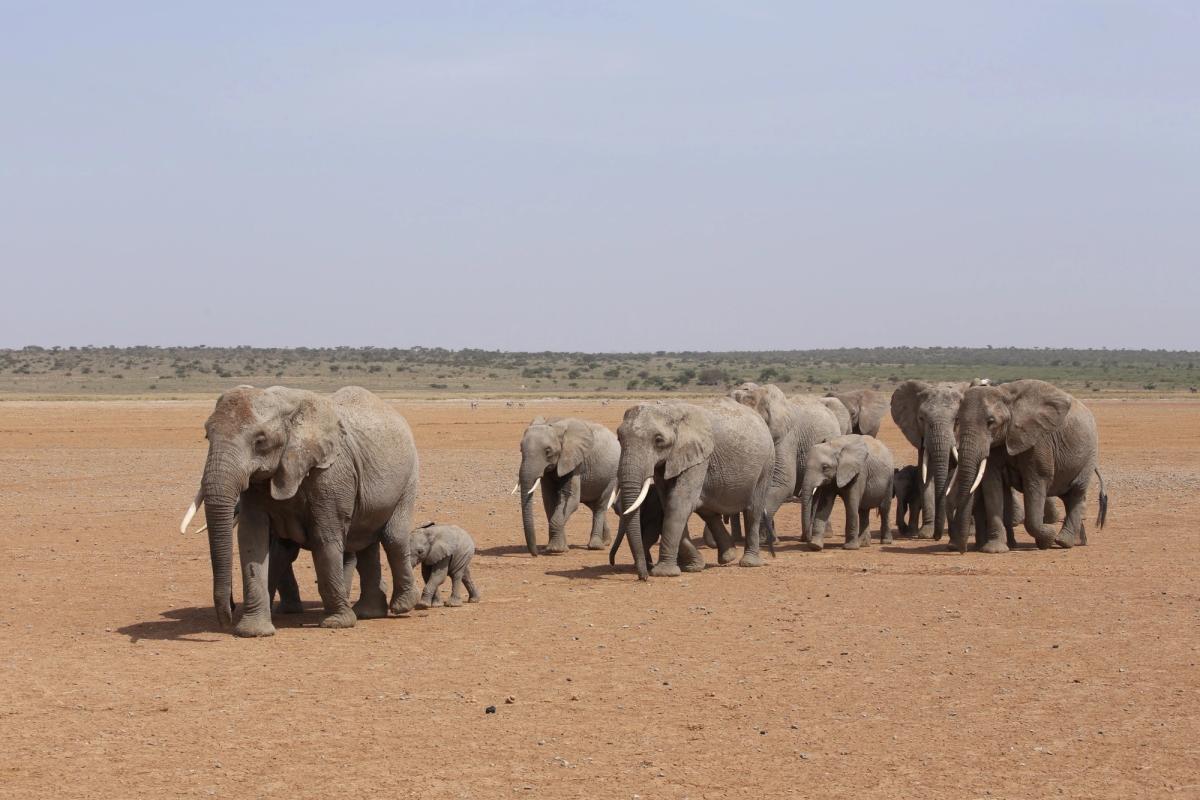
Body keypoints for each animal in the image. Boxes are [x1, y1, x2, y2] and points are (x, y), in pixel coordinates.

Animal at [184, 385, 420, 637]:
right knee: (366, 541)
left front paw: (337, 623)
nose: (228, 613)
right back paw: (369, 612)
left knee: (393, 537)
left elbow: (325, 539)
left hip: (409, 477)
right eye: (207, 435)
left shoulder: (330, 475)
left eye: (260, 440)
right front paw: (253, 631)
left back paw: (403, 605)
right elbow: (252, 539)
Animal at [515, 416, 619, 555]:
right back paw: (606, 542)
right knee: (593, 505)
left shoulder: (574, 462)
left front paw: (556, 549)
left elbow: (570, 499)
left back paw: (596, 546)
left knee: (600, 505)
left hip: (612, 474)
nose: (536, 553)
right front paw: (556, 547)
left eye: (547, 451)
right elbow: (549, 500)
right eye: (521, 449)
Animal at [609, 399, 775, 579]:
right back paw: (728, 556)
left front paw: (664, 573)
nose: (643, 577)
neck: (671, 410)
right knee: (708, 511)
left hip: (766, 464)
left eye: (659, 440)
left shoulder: (698, 456)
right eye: (619, 437)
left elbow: (678, 503)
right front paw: (693, 567)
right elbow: (668, 503)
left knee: (753, 510)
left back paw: (749, 562)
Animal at [949, 380, 1108, 553]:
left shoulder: (1039, 441)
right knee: (1068, 496)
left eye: (990, 422)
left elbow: (1036, 481)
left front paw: (1047, 538)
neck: (1006, 397)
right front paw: (995, 549)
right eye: (957, 420)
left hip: (1090, 453)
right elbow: (992, 485)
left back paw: (1063, 541)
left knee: (1077, 492)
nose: (962, 550)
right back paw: (1074, 540)